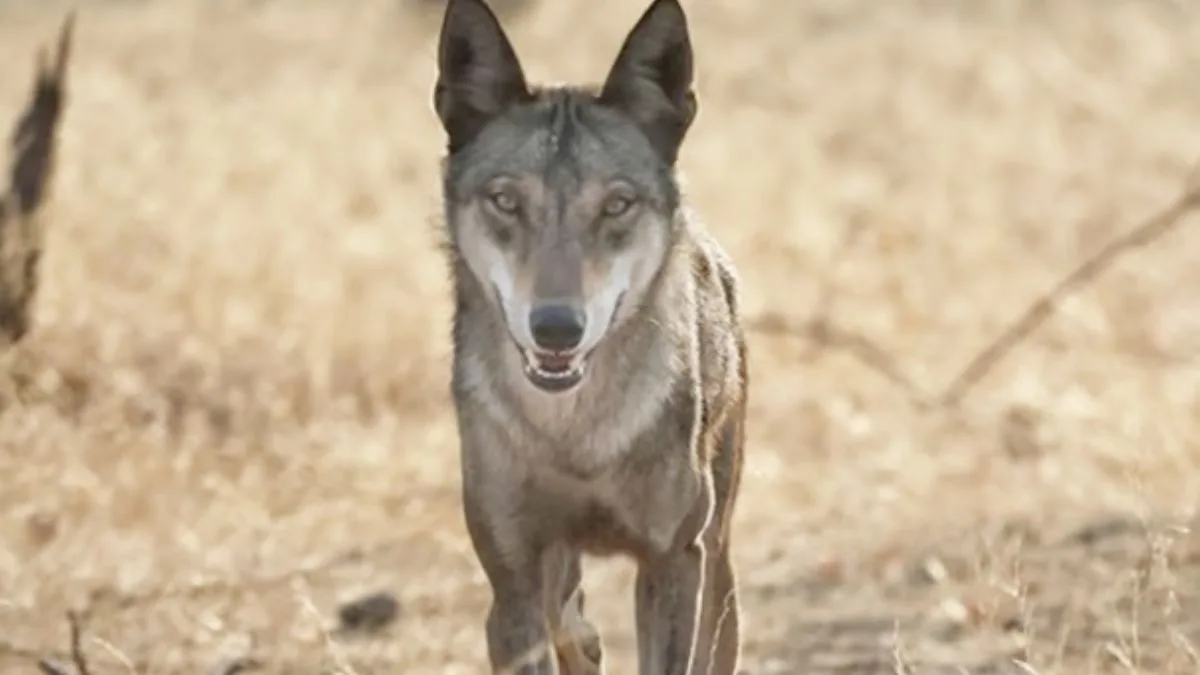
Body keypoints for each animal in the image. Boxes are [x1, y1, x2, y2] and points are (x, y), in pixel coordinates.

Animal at [432, 0, 747, 673]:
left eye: (617, 205)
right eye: (505, 201)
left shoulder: (672, 559)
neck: (573, 434)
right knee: (569, 610)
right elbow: (549, 613)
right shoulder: (512, 578)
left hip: (718, 552)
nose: (556, 327)